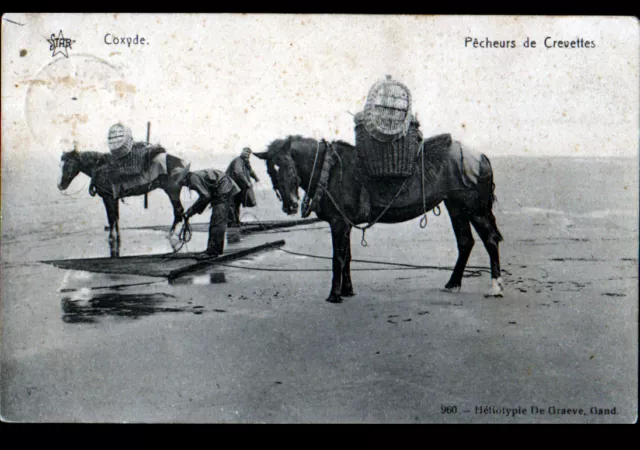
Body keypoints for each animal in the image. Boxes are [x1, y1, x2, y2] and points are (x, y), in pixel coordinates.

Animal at [57, 148, 188, 253]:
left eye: (68, 164)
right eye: (60, 165)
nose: (60, 186)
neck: (99, 169)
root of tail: (181, 163)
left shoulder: (108, 198)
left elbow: (111, 218)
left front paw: (111, 237)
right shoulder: (114, 199)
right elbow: (115, 217)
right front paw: (117, 236)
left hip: (172, 192)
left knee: (178, 211)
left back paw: (172, 234)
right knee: (179, 212)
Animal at [255, 134, 504, 302]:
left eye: (289, 165)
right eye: (270, 171)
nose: (290, 205)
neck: (330, 170)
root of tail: (480, 156)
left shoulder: (338, 223)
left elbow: (338, 258)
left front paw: (334, 295)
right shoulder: (345, 224)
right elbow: (348, 257)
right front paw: (347, 290)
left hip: (474, 208)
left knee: (490, 240)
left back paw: (495, 286)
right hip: (456, 206)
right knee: (465, 242)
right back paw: (452, 283)